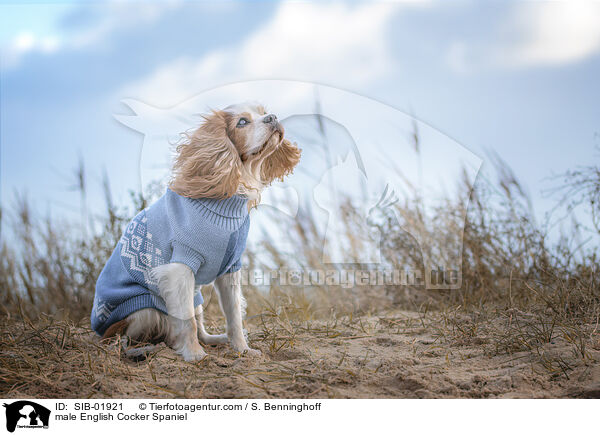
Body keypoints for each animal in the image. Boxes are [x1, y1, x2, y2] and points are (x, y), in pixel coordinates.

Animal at [91, 103, 300, 362]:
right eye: (242, 122)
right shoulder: (180, 268)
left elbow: (234, 316)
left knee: (198, 328)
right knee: (124, 341)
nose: (273, 117)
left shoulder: (230, 270)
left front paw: (242, 349)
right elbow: (186, 321)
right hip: (144, 309)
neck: (224, 201)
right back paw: (146, 349)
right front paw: (194, 355)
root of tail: (103, 332)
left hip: (195, 297)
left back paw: (216, 339)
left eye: (263, 112)